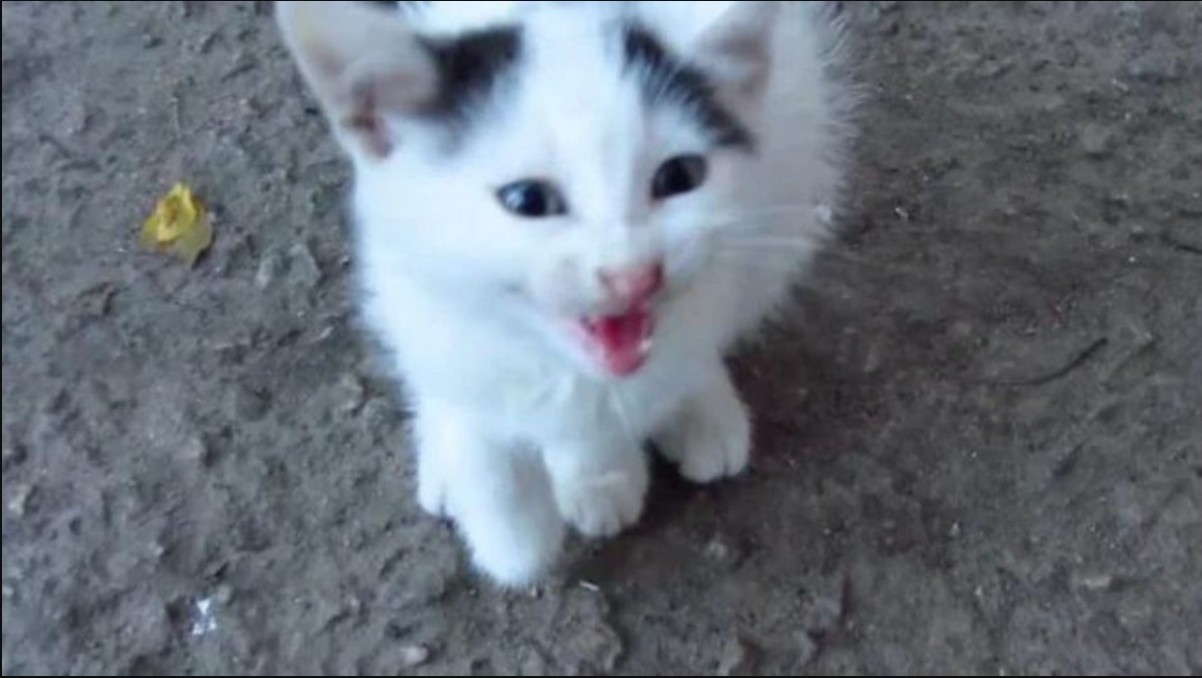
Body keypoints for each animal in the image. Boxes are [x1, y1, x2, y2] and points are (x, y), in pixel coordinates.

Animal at [276, 0, 855, 584]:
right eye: (526, 199)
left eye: (680, 175)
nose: (634, 274)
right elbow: (466, 387)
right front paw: (510, 529)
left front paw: (600, 474)